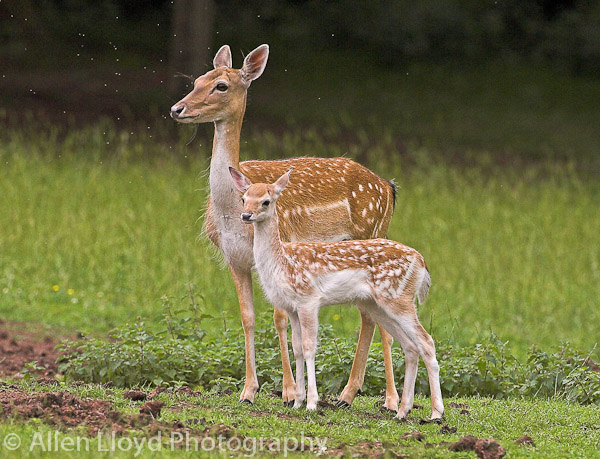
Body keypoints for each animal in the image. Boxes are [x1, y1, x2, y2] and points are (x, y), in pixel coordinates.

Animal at [170, 44, 400, 410]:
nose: (177, 108)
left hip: (373, 233)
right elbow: (248, 317)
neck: (231, 211)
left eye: (221, 85)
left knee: (377, 316)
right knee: (367, 314)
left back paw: (390, 400)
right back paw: (347, 395)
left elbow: (278, 319)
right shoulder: (234, 260)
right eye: (197, 80)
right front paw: (248, 391)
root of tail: (388, 187)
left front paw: (290, 392)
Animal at [229, 168, 444, 419]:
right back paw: (402, 411)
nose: (246, 215)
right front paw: (297, 401)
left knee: (426, 341)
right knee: (410, 347)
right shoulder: (292, 307)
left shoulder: (309, 299)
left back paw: (436, 413)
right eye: (244, 199)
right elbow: (297, 349)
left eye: (266, 200)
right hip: (378, 306)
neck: (282, 262)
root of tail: (422, 263)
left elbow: (310, 347)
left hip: (398, 298)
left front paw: (312, 403)